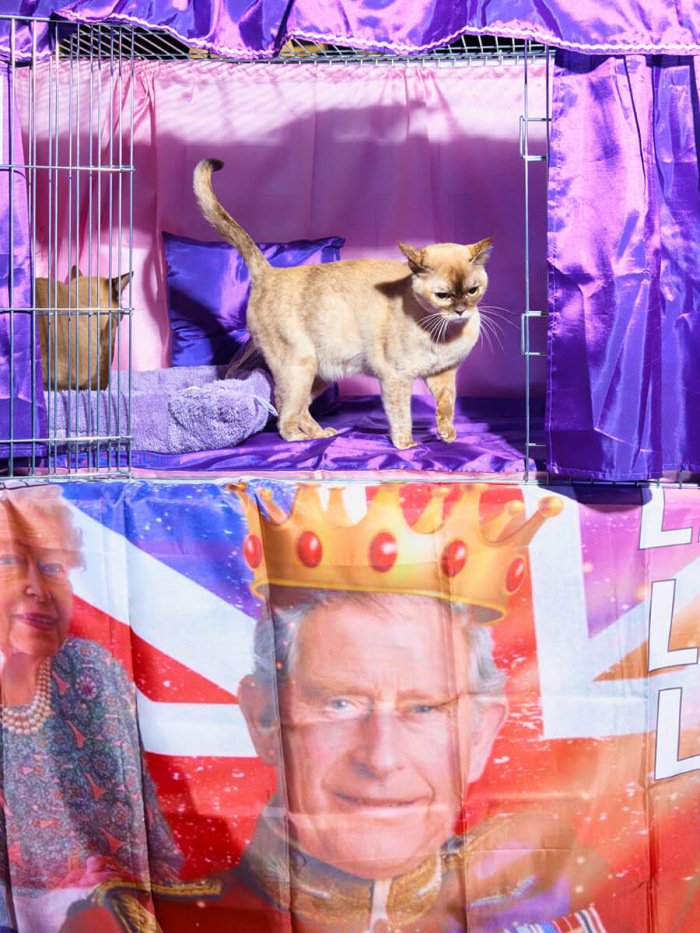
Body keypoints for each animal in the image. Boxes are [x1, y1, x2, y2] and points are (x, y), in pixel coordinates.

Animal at [194, 158, 493, 449]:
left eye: (472, 291)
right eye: (443, 296)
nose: (460, 311)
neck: (444, 334)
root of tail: (270, 271)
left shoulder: (442, 374)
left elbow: (447, 406)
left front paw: (447, 435)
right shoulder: (397, 378)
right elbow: (402, 416)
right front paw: (407, 445)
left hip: (321, 374)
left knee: (301, 407)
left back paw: (321, 433)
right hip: (299, 367)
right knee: (282, 406)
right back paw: (299, 438)